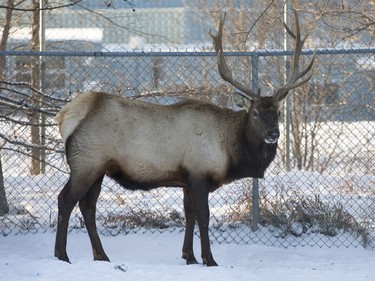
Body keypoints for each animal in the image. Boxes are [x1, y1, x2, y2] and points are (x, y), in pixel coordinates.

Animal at [54, 9, 316, 266]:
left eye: (278, 113)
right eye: (255, 113)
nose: (273, 133)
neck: (229, 151)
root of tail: (63, 116)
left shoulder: (186, 179)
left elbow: (189, 215)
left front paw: (189, 256)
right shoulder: (199, 173)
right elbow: (204, 217)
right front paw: (209, 259)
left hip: (97, 168)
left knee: (88, 206)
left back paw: (101, 255)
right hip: (86, 162)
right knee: (66, 199)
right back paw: (62, 255)